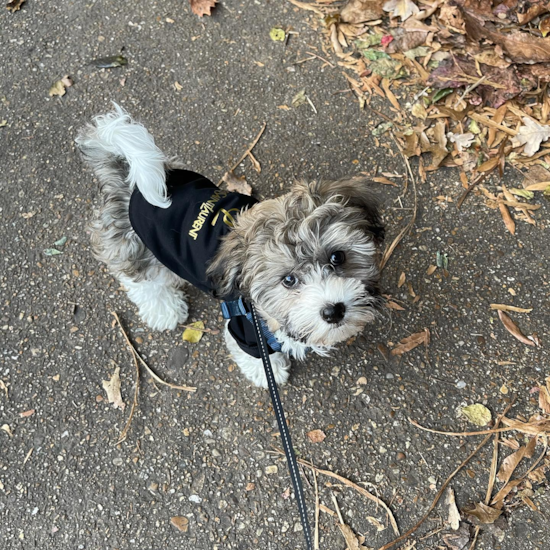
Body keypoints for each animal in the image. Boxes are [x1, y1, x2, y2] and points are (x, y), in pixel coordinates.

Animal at [76, 103, 388, 388]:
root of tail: (132, 185)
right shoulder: (245, 328)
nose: (333, 311)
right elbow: (257, 356)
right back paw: (164, 309)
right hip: (137, 249)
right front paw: (268, 373)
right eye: (288, 280)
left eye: (338, 257)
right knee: (141, 281)